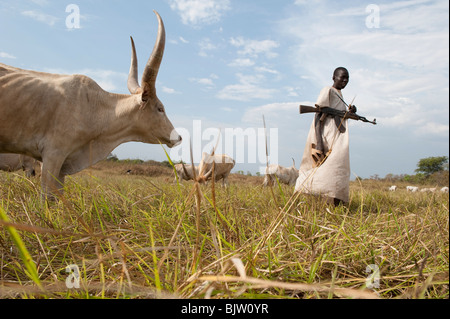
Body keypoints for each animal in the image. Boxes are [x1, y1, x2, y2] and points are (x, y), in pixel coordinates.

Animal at [1, 11, 183, 198]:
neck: (94, 109)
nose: (178, 137)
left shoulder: (62, 167)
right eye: (160, 108)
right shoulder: (52, 155)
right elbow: (47, 198)